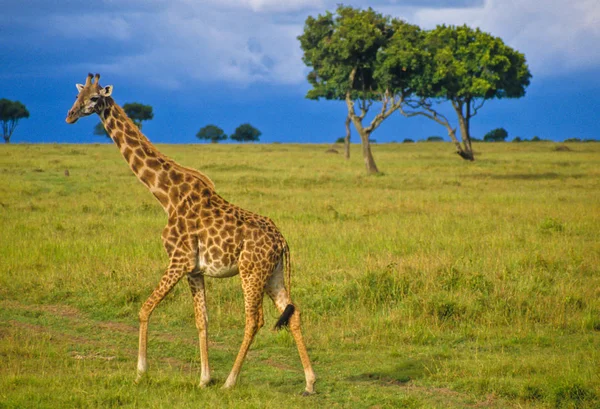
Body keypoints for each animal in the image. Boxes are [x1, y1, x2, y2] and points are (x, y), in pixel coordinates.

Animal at [65, 72, 316, 392]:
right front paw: (203, 378)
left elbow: (145, 309)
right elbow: (202, 320)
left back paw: (231, 381)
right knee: (293, 313)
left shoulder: (178, 260)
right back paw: (309, 382)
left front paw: (140, 372)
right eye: (77, 95)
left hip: (251, 271)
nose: (70, 116)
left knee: (254, 320)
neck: (166, 196)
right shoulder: (195, 270)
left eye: (95, 97)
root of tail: (281, 240)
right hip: (273, 274)